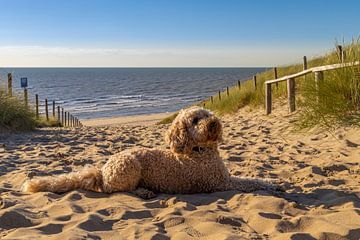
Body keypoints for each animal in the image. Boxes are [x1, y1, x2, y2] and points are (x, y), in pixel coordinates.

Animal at [22, 107, 278, 197]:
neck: (198, 150)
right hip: (129, 166)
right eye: (195, 120)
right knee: (114, 190)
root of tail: (102, 171)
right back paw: (143, 192)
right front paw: (272, 184)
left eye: (207, 114)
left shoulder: (225, 178)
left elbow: (250, 177)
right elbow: (251, 182)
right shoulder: (221, 183)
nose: (214, 122)